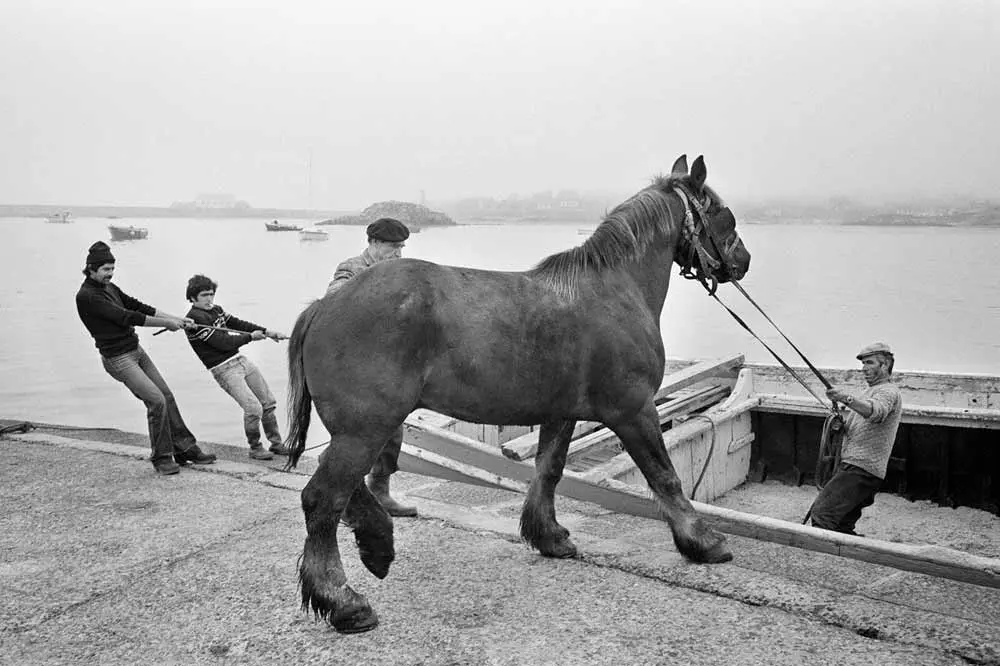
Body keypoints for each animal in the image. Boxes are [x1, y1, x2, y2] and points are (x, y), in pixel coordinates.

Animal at [284, 155, 751, 633]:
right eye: (723, 214)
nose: (742, 260)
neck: (617, 290)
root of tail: (325, 305)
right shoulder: (634, 410)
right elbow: (665, 476)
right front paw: (702, 541)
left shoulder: (561, 412)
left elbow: (549, 470)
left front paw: (549, 536)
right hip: (365, 428)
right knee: (323, 498)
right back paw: (342, 600)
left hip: (361, 428)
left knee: (340, 486)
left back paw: (377, 542)